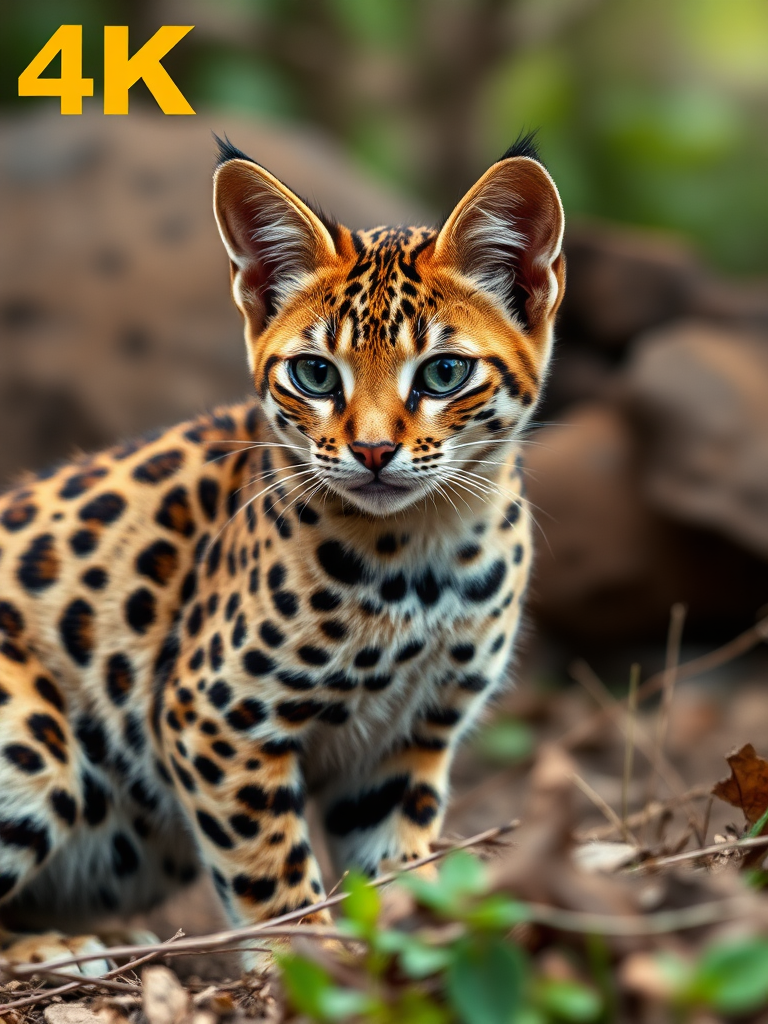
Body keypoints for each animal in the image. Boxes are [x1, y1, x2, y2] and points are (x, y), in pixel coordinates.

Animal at [0, 134, 565, 966]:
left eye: (444, 372)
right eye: (315, 373)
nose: (372, 452)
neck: (429, 554)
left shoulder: (408, 740)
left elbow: (395, 858)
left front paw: (406, 940)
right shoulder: (212, 713)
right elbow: (270, 867)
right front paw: (307, 960)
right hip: (33, 739)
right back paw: (61, 950)